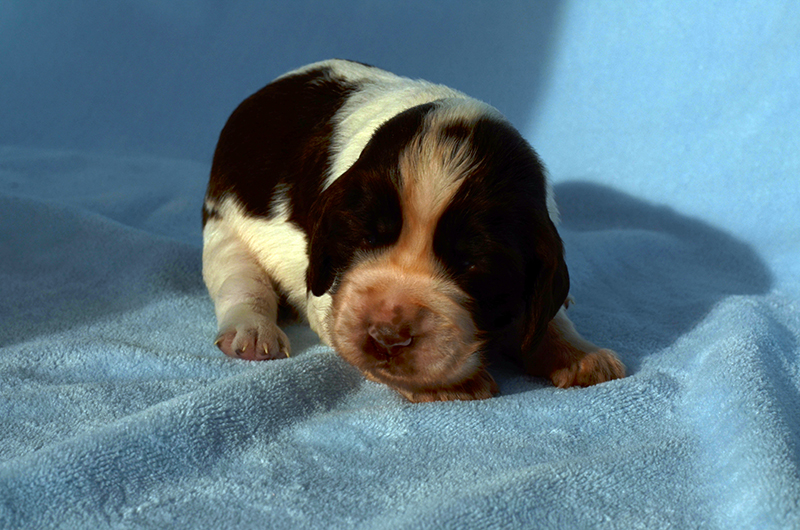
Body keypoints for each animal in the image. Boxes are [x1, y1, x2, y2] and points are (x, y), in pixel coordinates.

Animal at [202, 58, 624, 400]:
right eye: (365, 237)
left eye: (472, 263)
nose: (387, 339)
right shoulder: (326, 293)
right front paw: (447, 385)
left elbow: (544, 317)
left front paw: (582, 355)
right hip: (224, 232)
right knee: (242, 285)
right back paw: (253, 334)